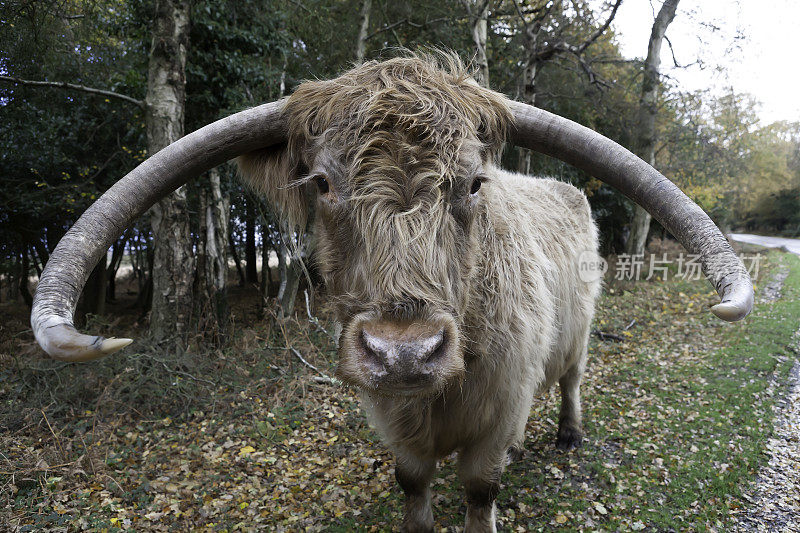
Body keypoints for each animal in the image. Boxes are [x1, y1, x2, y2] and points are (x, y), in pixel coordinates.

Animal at [32, 54, 756, 532]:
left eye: (472, 182)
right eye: (324, 183)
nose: (404, 352)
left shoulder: (500, 405)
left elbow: (482, 486)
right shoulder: (392, 416)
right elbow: (413, 480)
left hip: (577, 335)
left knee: (574, 378)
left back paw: (569, 434)